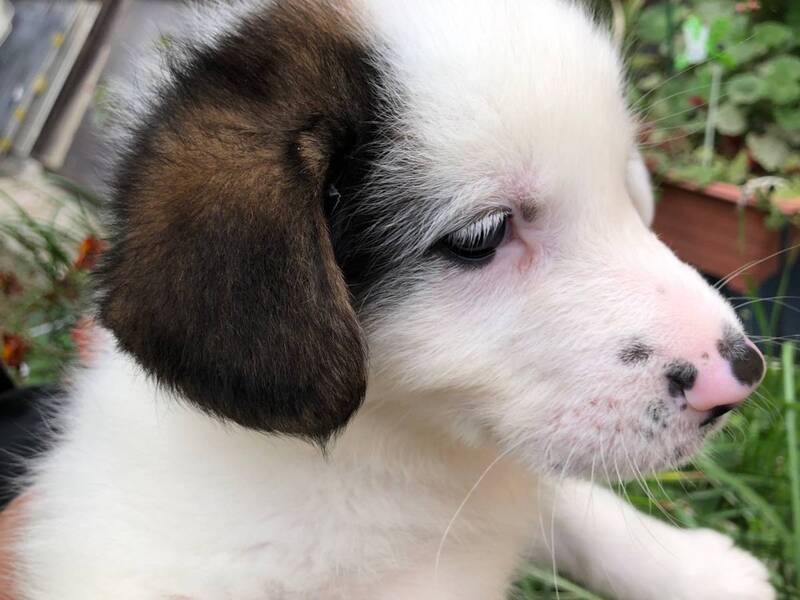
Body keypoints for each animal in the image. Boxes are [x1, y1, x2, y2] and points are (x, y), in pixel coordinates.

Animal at [11, 0, 775, 598]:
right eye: (481, 235)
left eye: (623, 182)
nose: (741, 374)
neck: (384, 454)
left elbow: (565, 503)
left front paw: (693, 569)